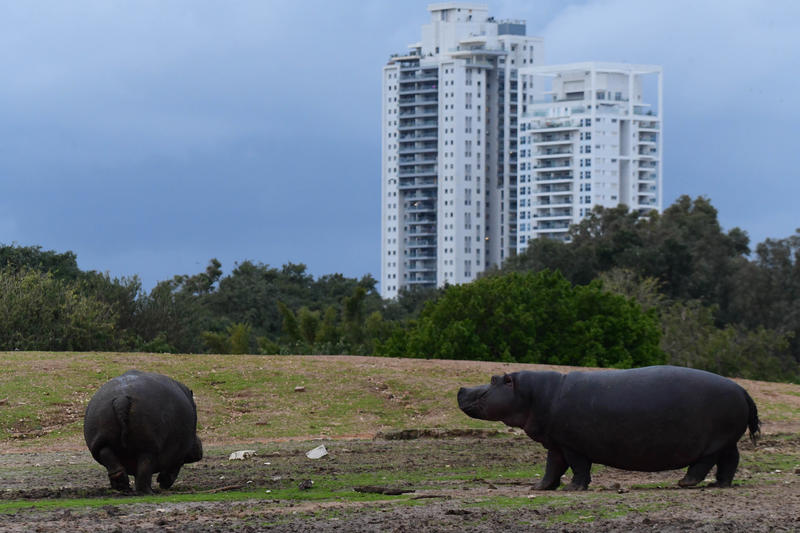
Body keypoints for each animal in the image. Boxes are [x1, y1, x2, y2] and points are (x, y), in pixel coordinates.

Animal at [457, 365, 759, 490]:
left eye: (494, 379)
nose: (461, 389)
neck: (535, 394)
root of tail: (742, 389)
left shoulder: (572, 445)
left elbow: (578, 468)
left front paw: (573, 489)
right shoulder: (556, 443)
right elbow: (552, 467)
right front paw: (540, 487)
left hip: (714, 441)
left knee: (705, 462)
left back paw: (685, 482)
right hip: (728, 440)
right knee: (730, 460)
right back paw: (721, 484)